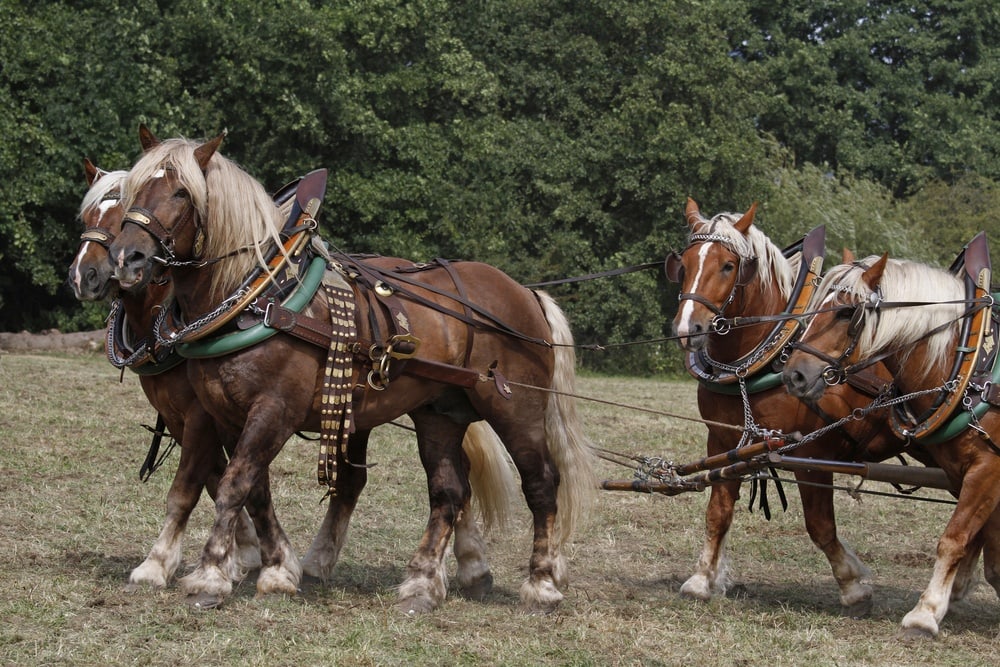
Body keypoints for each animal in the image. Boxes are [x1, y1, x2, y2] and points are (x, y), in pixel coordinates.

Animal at [105, 129, 595, 613]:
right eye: (134, 189)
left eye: (182, 193)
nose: (127, 259)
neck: (260, 297)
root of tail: (526, 293)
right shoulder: (217, 413)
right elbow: (231, 488)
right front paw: (273, 569)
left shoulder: (273, 411)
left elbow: (233, 485)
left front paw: (209, 576)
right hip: (440, 413)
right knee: (449, 491)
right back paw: (421, 585)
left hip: (517, 409)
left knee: (541, 483)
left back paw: (541, 584)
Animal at [666, 198, 960, 617]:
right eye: (686, 263)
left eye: (727, 265)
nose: (687, 330)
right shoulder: (723, 442)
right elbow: (718, 511)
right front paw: (703, 578)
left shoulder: (810, 454)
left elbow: (819, 525)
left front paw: (854, 585)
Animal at [781, 245, 1000, 638]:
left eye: (846, 312)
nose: (795, 375)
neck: (971, 364)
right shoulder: (962, 469)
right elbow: (984, 542)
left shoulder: (989, 467)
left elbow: (954, 538)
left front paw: (925, 613)